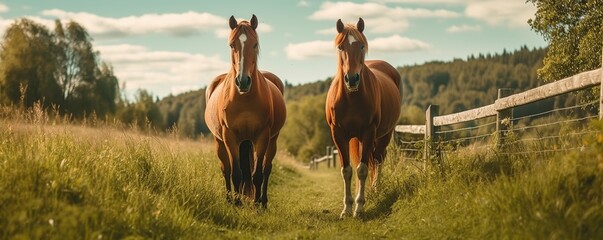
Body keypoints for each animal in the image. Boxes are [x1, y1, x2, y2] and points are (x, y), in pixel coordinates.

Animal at [204, 14, 286, 207]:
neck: (245, 98)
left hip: (271, 140)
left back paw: (263, 201)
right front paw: (237, 203)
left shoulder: (263, 136)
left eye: (255, 44)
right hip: (220, 142)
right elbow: (236, 173)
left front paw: (256, 204)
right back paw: (229, 199)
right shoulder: (229, 136)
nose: (243, 81)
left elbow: (257, 175)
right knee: (226, 169)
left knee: (266, 168)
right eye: (231, 45)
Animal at [326, 17, 402, 218]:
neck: (351, 98)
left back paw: (375, 189)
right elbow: (347, 170)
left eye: (361, 45)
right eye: (340, 47)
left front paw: (359, 207)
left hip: (384, 135)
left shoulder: (369, 132)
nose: (352, 79)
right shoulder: (338, 134)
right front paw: (346, 208)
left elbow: (362, 169)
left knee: (378, 158)